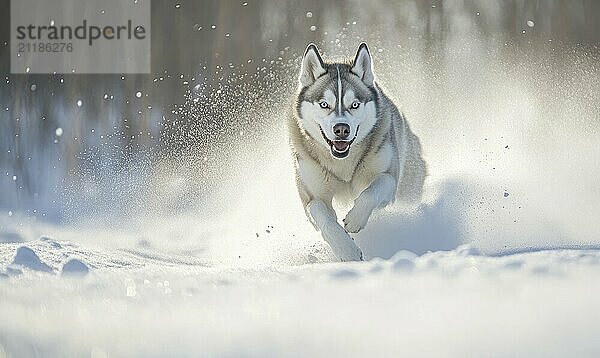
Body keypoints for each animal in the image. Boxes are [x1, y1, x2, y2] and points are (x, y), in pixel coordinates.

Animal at [288, 43, 424, 262]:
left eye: (354, 104)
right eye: (324, 104)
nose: (341, 129)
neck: (342, 163)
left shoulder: (388, 177)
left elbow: (371, 191)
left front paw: (354, 220)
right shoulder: (311, 192)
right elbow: (320, 213)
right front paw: (346, 249)